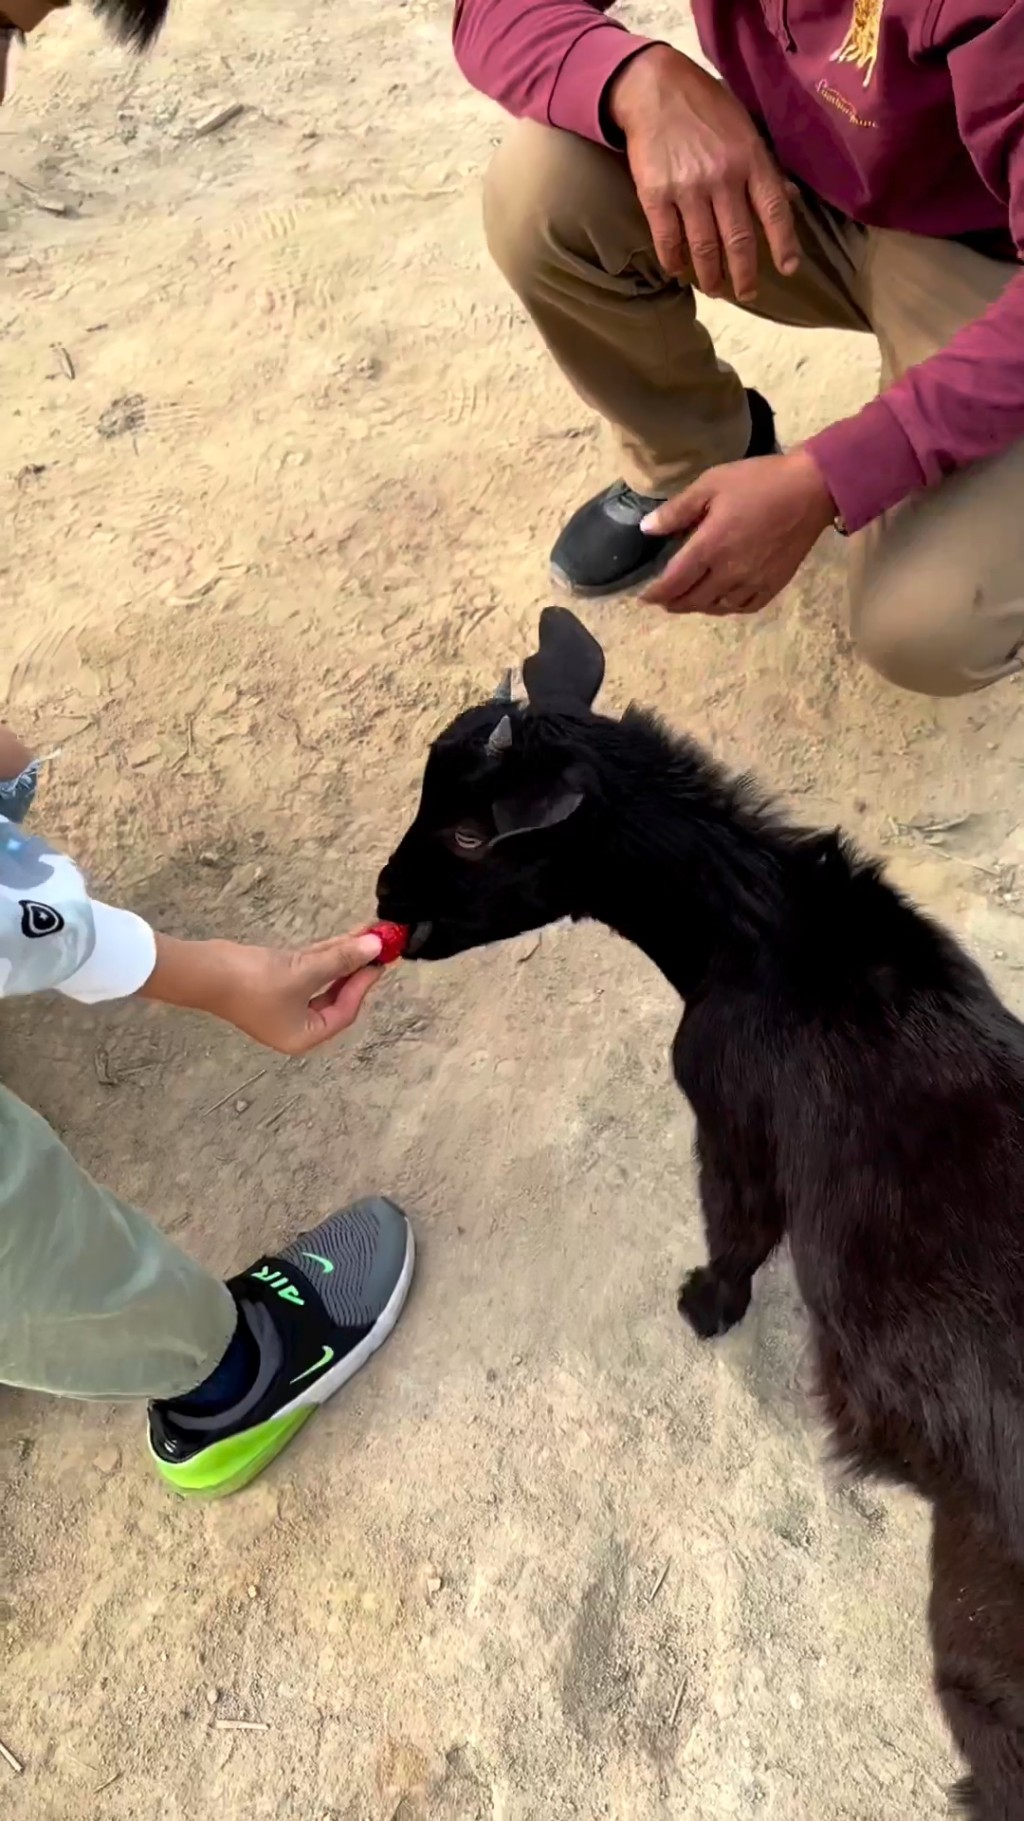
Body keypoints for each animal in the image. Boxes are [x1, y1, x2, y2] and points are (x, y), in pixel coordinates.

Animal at [378, 608, 1020, 1806]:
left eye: (475, 838)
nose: (385, 903)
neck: (757, 928)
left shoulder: (727, 1115)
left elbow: (737, 1225)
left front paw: (704, 1305)